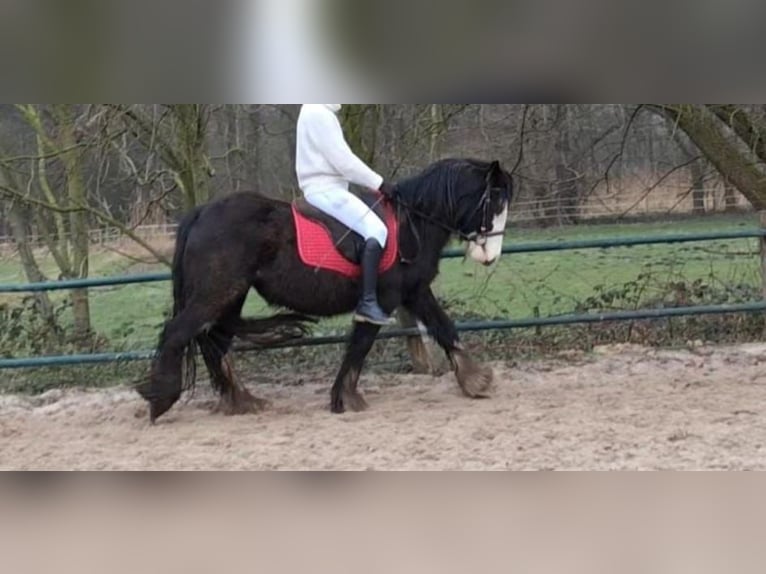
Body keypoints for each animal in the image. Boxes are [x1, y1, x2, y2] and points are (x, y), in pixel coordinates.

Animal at [139, 158, 516, 424]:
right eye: (495, 202)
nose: (490, 257)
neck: (412, 223)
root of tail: (202, 212)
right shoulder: (384, 300)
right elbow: (360, 346)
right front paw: (346, 398)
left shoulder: (415, 292)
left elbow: (444, 328)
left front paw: (476, 380)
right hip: (216, 292)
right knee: (180, 333)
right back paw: (161, 399)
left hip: (230, 294)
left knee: (214, 338)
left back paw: (241, 399)